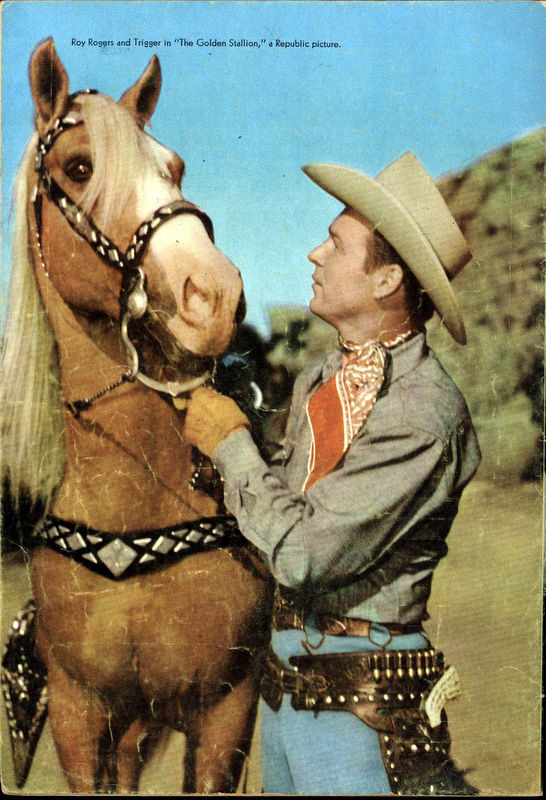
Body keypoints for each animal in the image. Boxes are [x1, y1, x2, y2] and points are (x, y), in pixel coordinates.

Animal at [1, 38, 272, 794]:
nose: (215, 294)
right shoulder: (77, 716)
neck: (135, 503)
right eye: (79, 167)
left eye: (175, 167)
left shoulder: (226, 712)